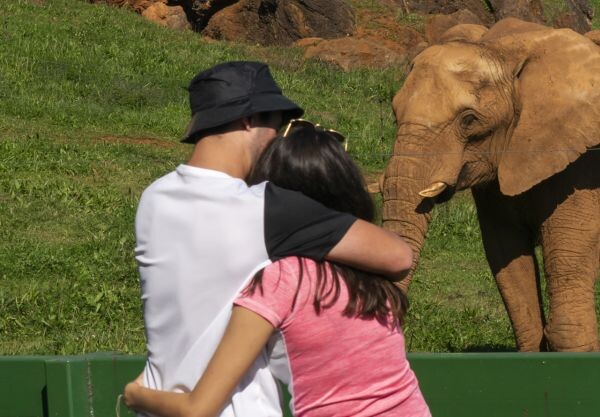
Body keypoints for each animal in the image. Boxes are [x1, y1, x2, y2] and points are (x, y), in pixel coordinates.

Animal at [382, 19, 596, 352]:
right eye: (394, 112)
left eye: (469, 121)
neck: (506, 51)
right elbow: (508, 262)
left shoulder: (581, 169)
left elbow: (568, 269)